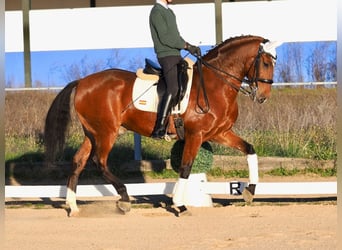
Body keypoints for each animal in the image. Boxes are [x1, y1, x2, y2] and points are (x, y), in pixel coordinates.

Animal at [44, 35, 280, 217]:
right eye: (266, 63)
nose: (263, 97)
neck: (216, 83)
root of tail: (82, 81)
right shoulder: (196, 135)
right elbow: (186, 167)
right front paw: (180, 205)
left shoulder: (219, 133)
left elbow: (249, 149)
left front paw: (249, 191)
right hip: (107, 132)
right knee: (99, 162)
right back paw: (124, 199)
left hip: (92, 133)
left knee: (78, 161)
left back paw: (73, 207)